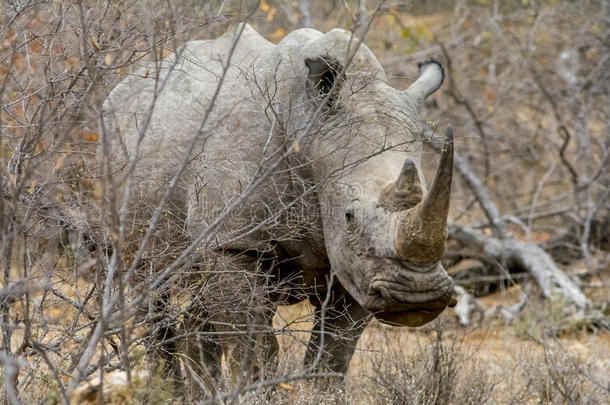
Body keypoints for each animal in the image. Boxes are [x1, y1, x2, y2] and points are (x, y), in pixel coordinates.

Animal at [97, 22, 454, 392]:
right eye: (349, 216)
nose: (418, 297)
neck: (311, 138)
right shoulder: (236, 241)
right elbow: (253, 343)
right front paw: (255, 392)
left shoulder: (355, 265)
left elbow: (334, 351)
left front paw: (319, 393)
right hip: (115, 153)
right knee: (147, 279)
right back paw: (168, 392)